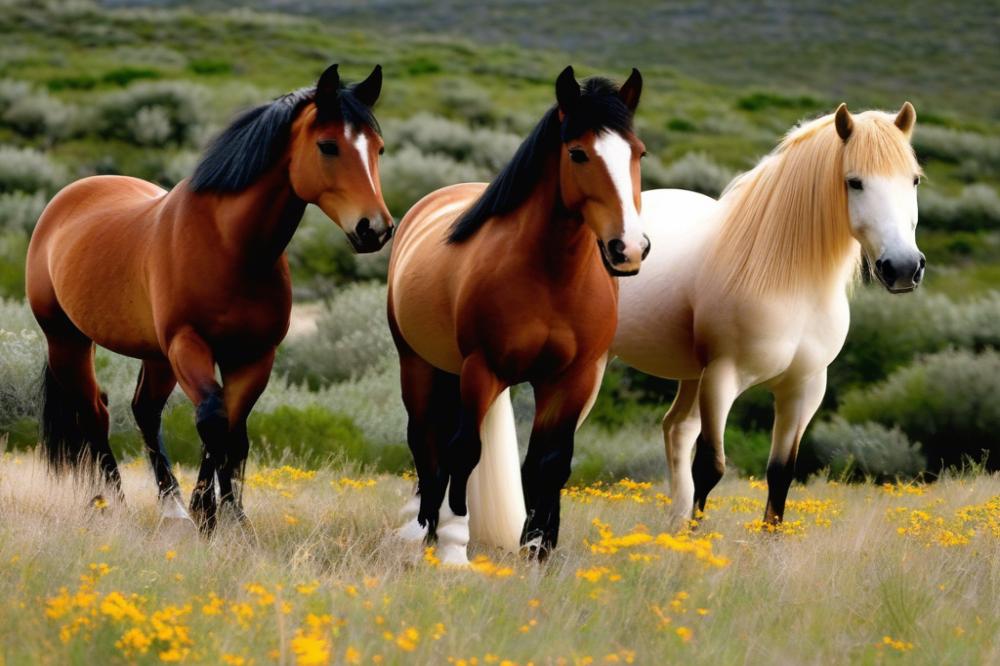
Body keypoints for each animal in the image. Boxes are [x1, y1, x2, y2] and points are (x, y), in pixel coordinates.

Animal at [25, 62, 392, 528]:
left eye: (378, 149)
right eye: (328, 146)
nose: (375, 228)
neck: (230, 246)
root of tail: (66, 199)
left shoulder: (254, 356)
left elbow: (233, 432)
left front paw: (232, 517)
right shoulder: (189, 344)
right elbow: (213, 421)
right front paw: (209, 514)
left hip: (155, 355)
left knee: (144, 410)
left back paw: (172, 507)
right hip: (68, 340)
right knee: (95, 412)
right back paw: (115, 504)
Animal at [386, 67, 652, 560]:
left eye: (638, 152)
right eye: (578, 152)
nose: (628, 248)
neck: (551, 277)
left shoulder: (573, 379)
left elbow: (549, 463)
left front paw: (537, 548)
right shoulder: (483, 368)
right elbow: (465, 452)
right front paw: (454, 547)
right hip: (417, 364)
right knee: (427, 443)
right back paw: (426, 529)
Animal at [612, 102, 924, 524]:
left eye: (914, 181)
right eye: (854, 182)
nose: (904, 268)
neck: (790, 284)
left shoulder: (804, 388)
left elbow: (780, 475)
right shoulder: (722, 379)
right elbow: (710, 468)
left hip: (691, 375)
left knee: (676, 430)